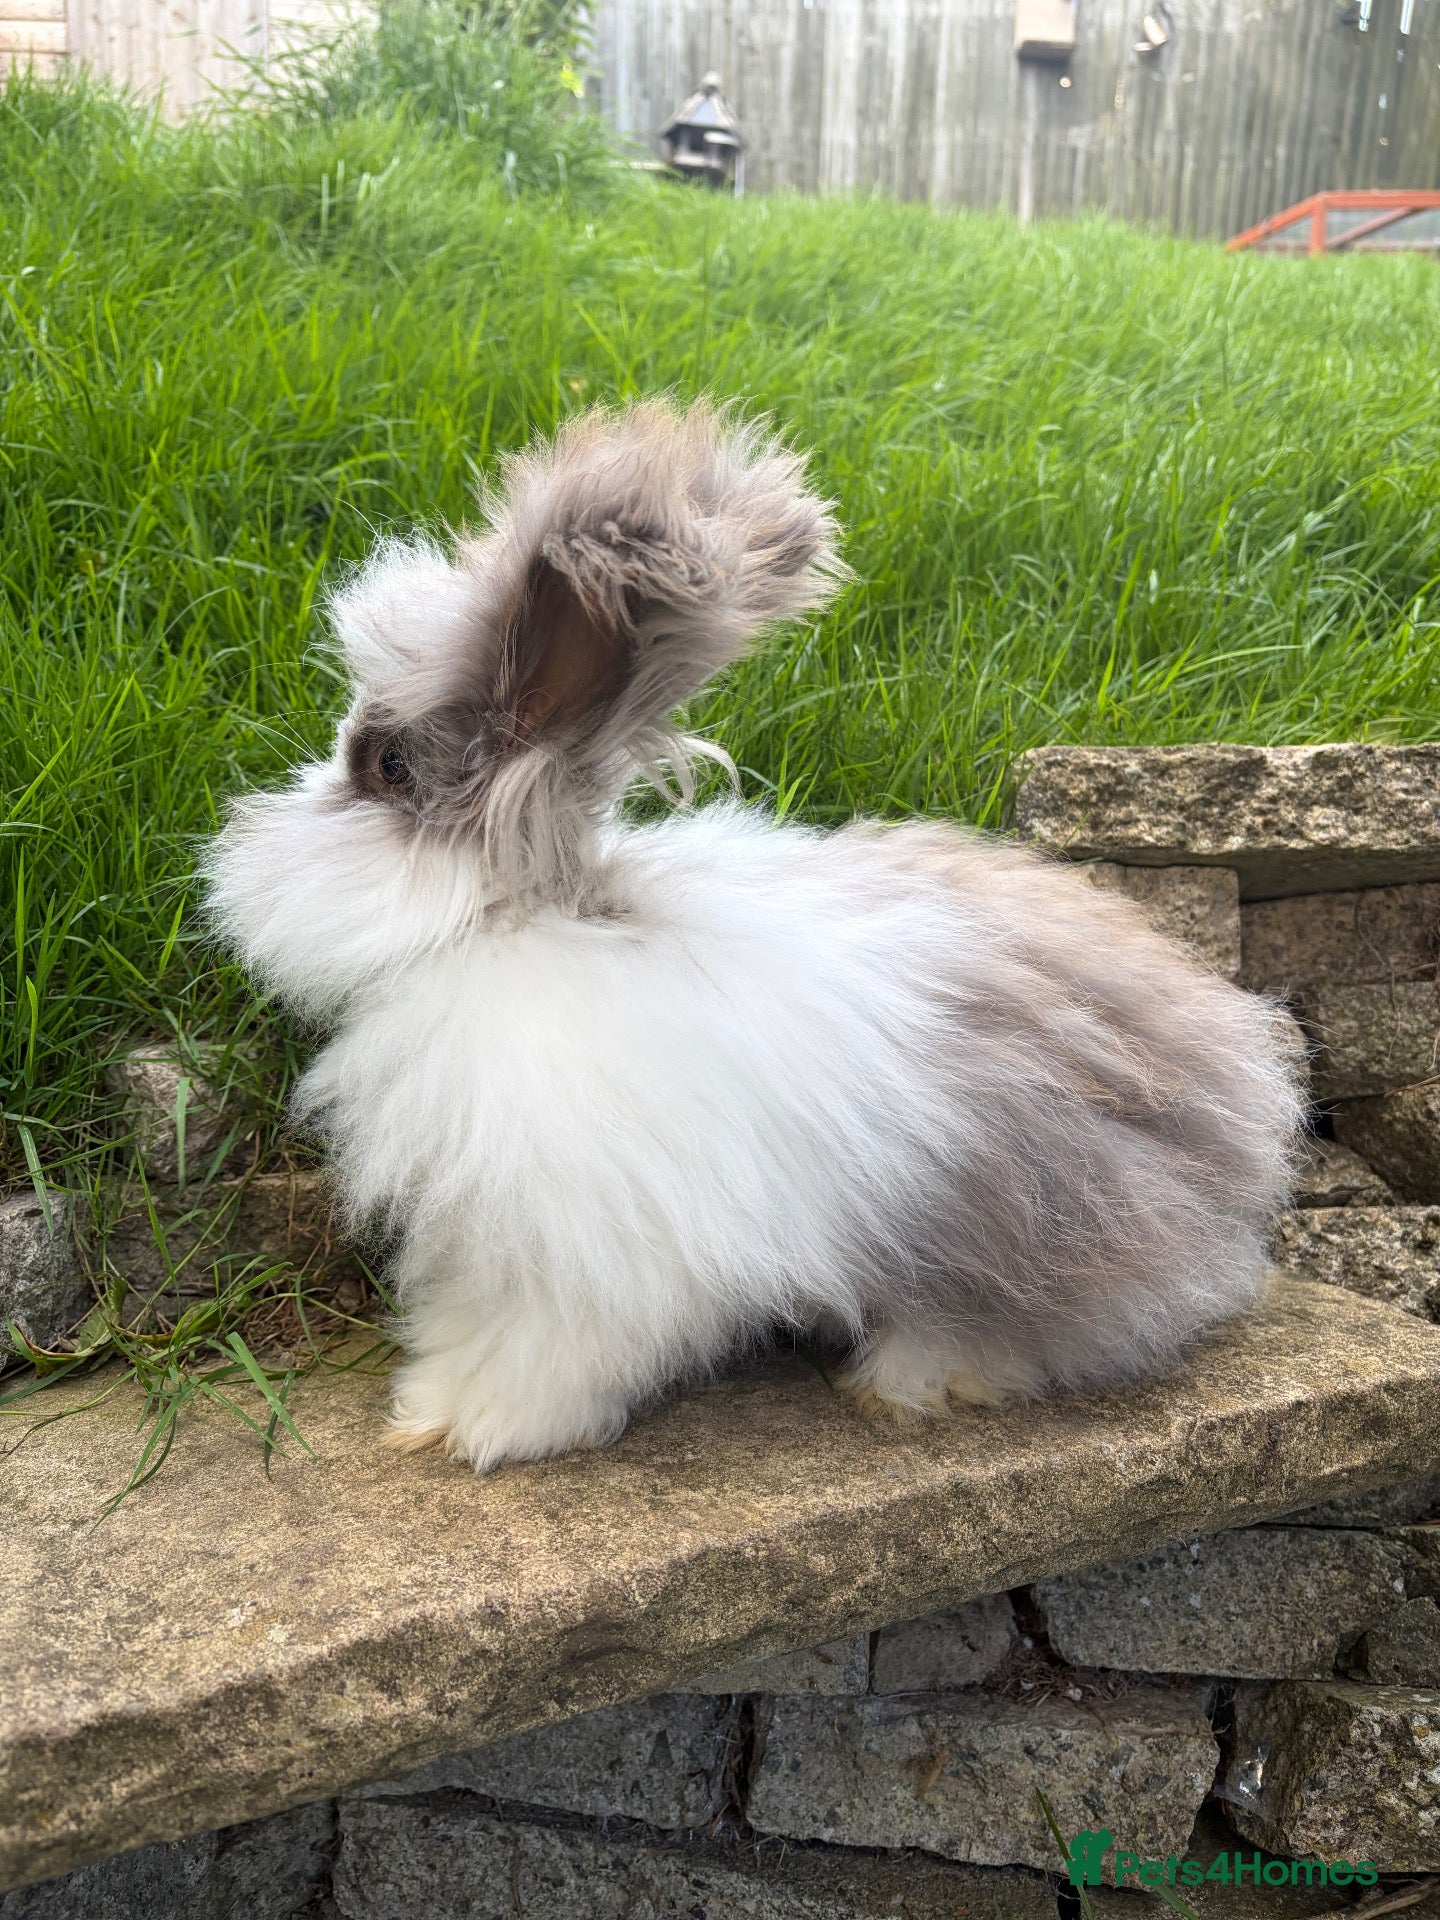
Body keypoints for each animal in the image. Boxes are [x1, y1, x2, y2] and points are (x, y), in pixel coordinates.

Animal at [206, 399, 1304, 1473]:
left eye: (385, 766)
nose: (242, 837)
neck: (520, 920)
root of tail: (1244, 1104)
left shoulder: (590, 1248)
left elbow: (549, 1348)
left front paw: (490, 1427)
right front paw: (429, 1404)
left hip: (1051, 1209)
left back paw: (917, 1379)